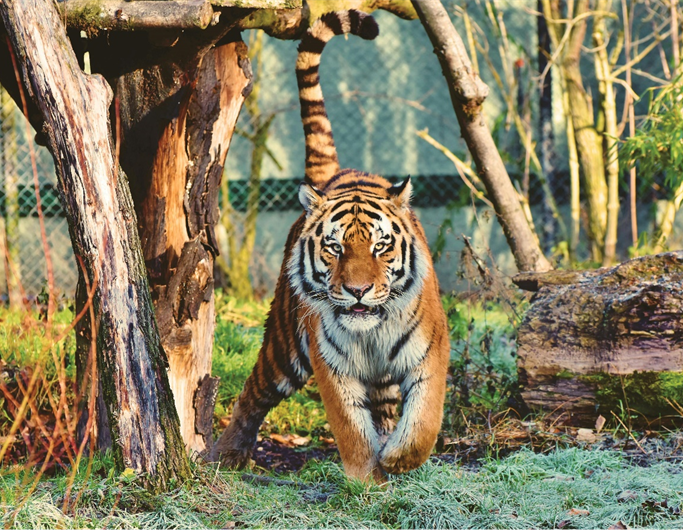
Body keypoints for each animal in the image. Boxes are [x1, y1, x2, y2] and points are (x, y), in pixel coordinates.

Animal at [211, 10, 451, 482]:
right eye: (335, 249)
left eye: (380, 247)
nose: (358, 291)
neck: (372, 333)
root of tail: (336, 174)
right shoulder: (331, 364)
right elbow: (350, 428)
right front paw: (365, 478)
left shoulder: (431, 351)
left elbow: (424, 420)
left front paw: (398, 458)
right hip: (284, 347)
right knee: (252, 392)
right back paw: (227, 453)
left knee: (386, 408)